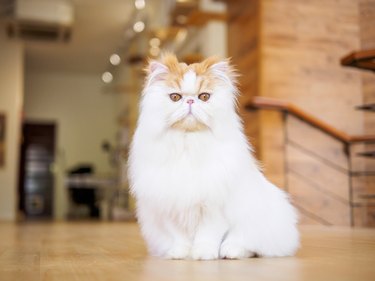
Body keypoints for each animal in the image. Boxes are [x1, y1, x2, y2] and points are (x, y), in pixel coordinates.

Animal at [129, 53, 300, 260]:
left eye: (204, 97)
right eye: (175, 97)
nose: (190, 101)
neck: (189, 143)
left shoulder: (213, 209)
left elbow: (207, 235)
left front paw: (203, 254)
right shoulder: (170, 206)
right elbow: (179, 237)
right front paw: (179, 254)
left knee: (249, 246)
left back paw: (230, 252)